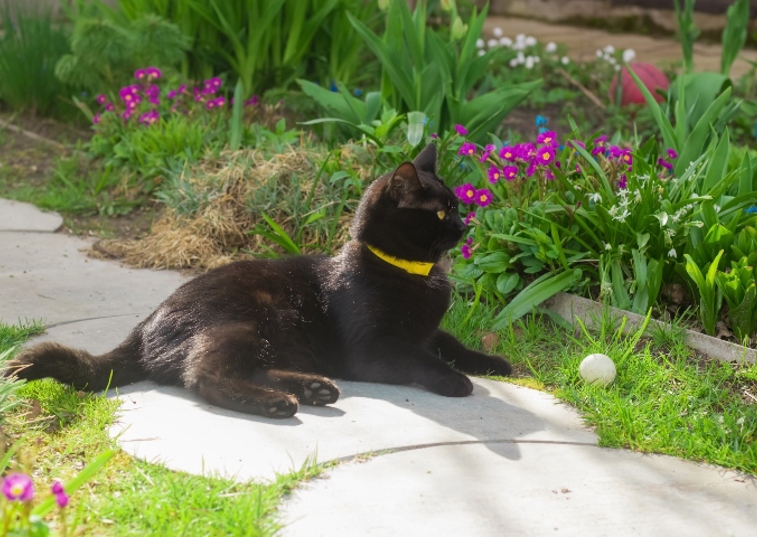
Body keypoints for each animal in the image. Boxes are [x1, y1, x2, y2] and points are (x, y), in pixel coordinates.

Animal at [5, 143, 510, 418]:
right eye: (442, 212)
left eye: (457, 205)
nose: (466, 225)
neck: (412, 273)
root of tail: (144, 326)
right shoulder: (374, 348)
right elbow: (420, 359)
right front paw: (455, 380)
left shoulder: (427, 329)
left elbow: (451, 342)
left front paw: (493, 362)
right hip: (241, 319)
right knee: (204, 375)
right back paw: (278, 403)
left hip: (266, 334)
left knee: (240, 366)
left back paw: (312, 388)